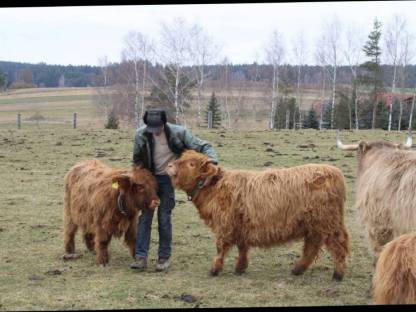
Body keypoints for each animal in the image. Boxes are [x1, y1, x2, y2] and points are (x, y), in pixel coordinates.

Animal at [166, 150, 352, 280]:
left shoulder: (225, 225)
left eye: (191, 164)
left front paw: (214, 269)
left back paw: (338, 274)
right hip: (313, 225)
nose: (169, 166)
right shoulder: (240, 225)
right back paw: (297, 269)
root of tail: (335, 172)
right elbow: (242, 247)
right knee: (312, 247)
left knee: (337, 244)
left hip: (327, 221)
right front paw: (240, 268)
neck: (214, 187)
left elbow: (221, 248)